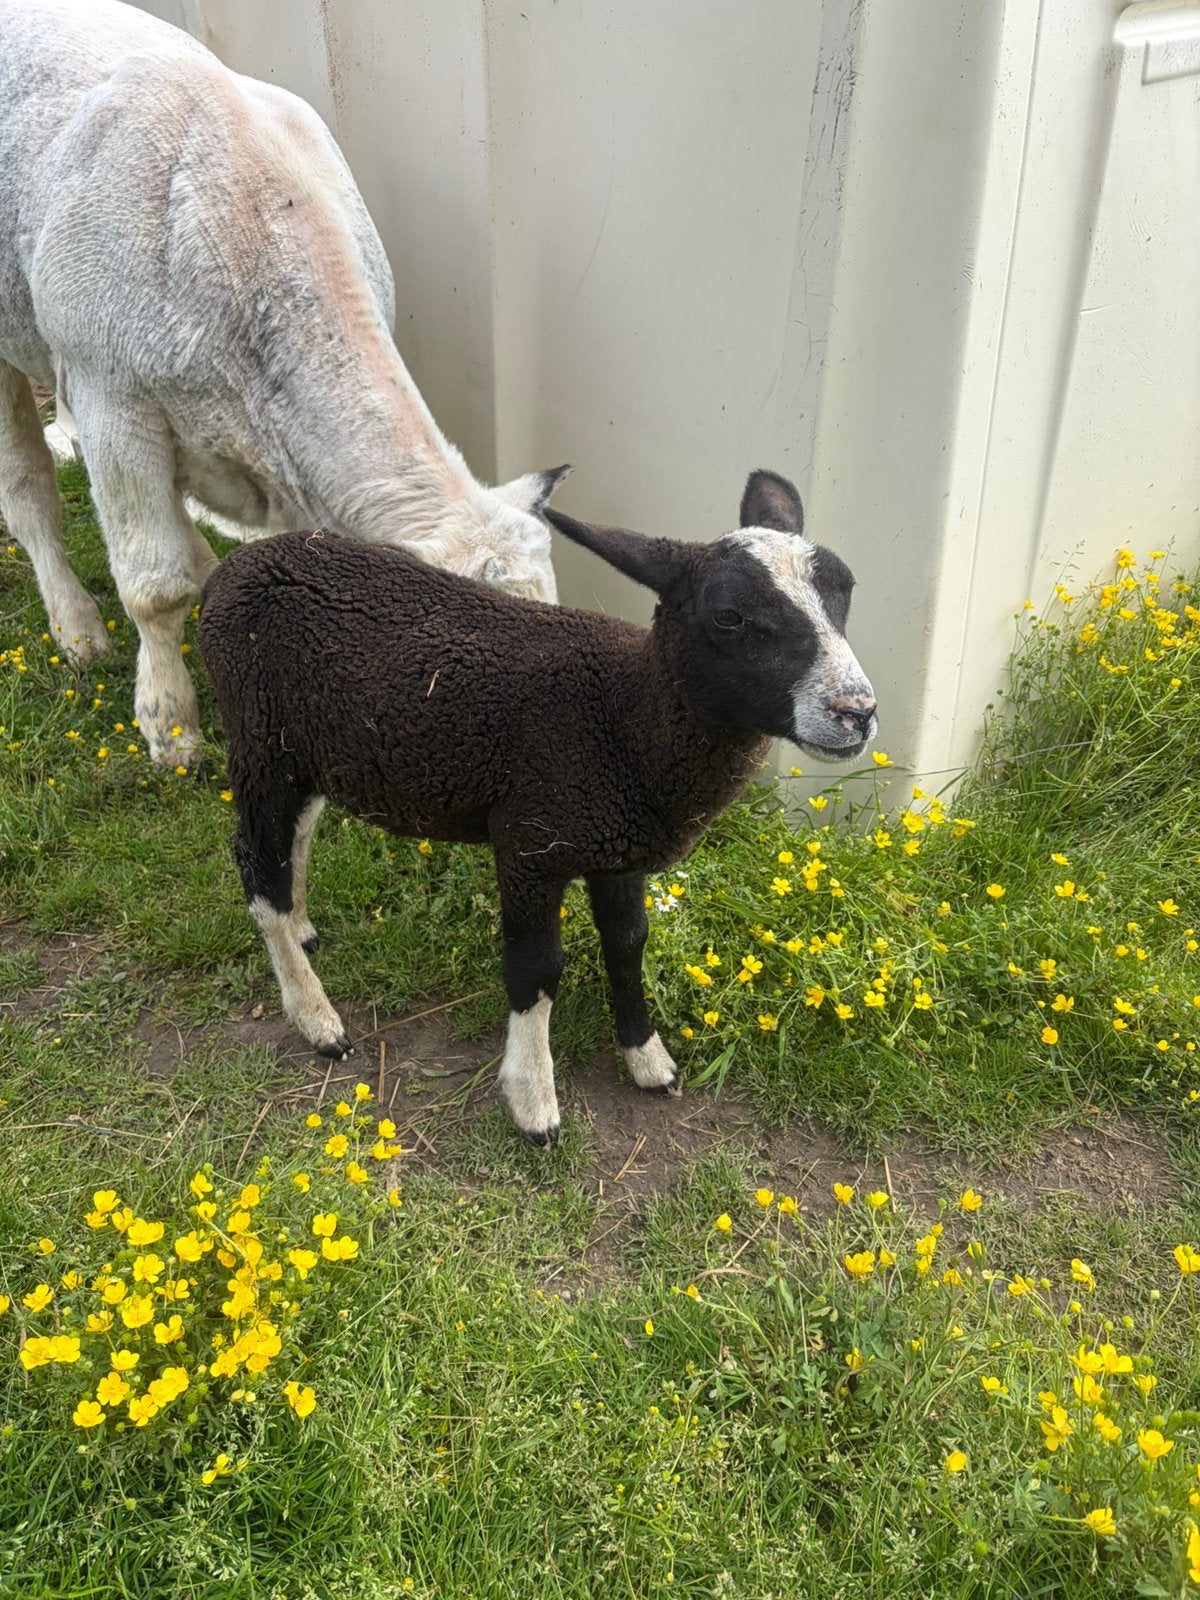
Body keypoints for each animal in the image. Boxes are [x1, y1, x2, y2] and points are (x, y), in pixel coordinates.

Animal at [198, 467, 877, 1144]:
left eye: (847, 590)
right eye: (729, 615)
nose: (858, 713)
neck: (624, 716)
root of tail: (237, 564)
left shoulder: (619, 852)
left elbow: (628, 943)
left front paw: (647, 1058)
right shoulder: (530, 842)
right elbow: (536, 969)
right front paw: (533, 1100)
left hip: (310, 751)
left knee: (296, 836)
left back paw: (303, 930)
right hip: (258, 741)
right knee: (257, 871)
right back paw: (316, 1016)